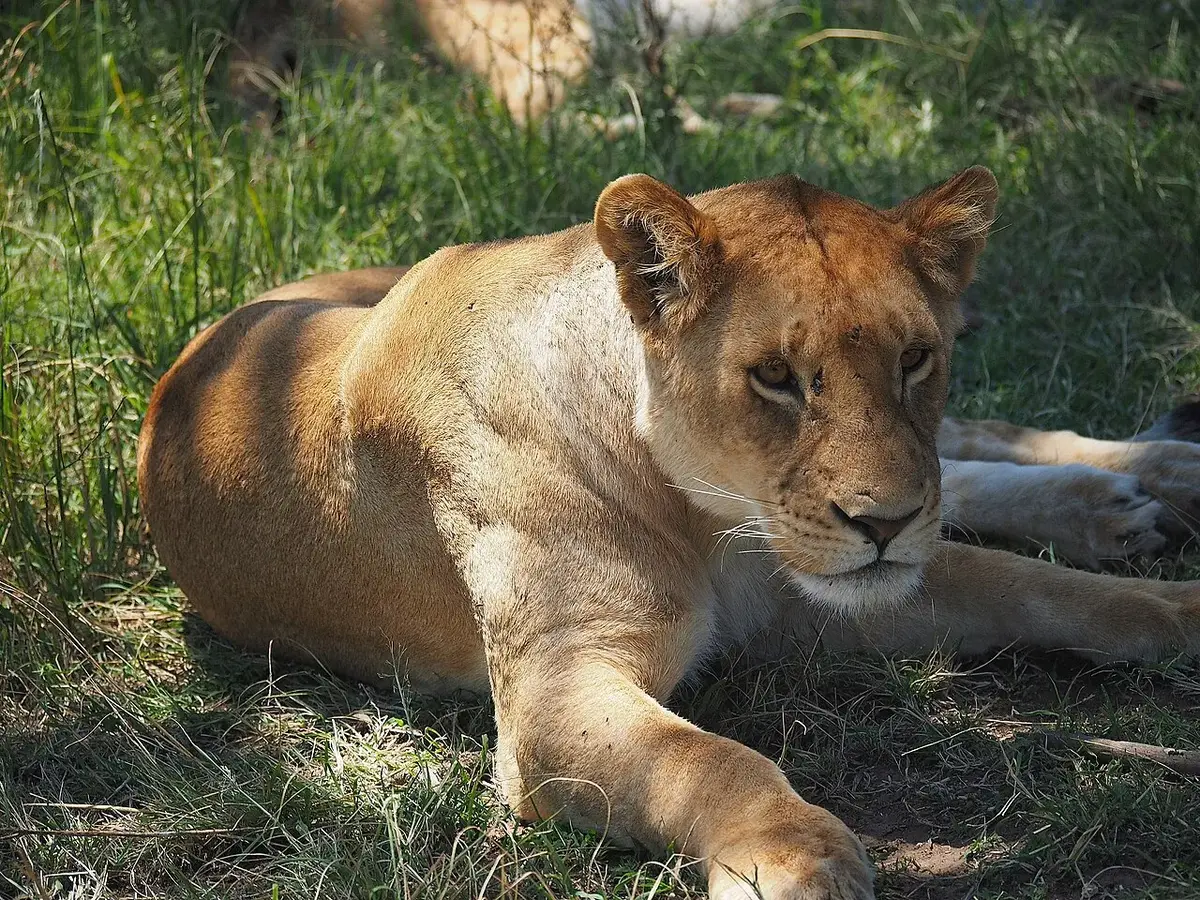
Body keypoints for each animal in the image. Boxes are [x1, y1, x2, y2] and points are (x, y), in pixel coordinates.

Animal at [138, 168, 1200, 900]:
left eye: (915, 358)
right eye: (776, 377)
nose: (885, 522)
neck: (715, 517)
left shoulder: (814, 584)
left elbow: (1046, 588)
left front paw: (1179, 608)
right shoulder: (561, 690)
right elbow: (712, 760)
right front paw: (799, 862)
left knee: (976, 443)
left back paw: (1149, 480)